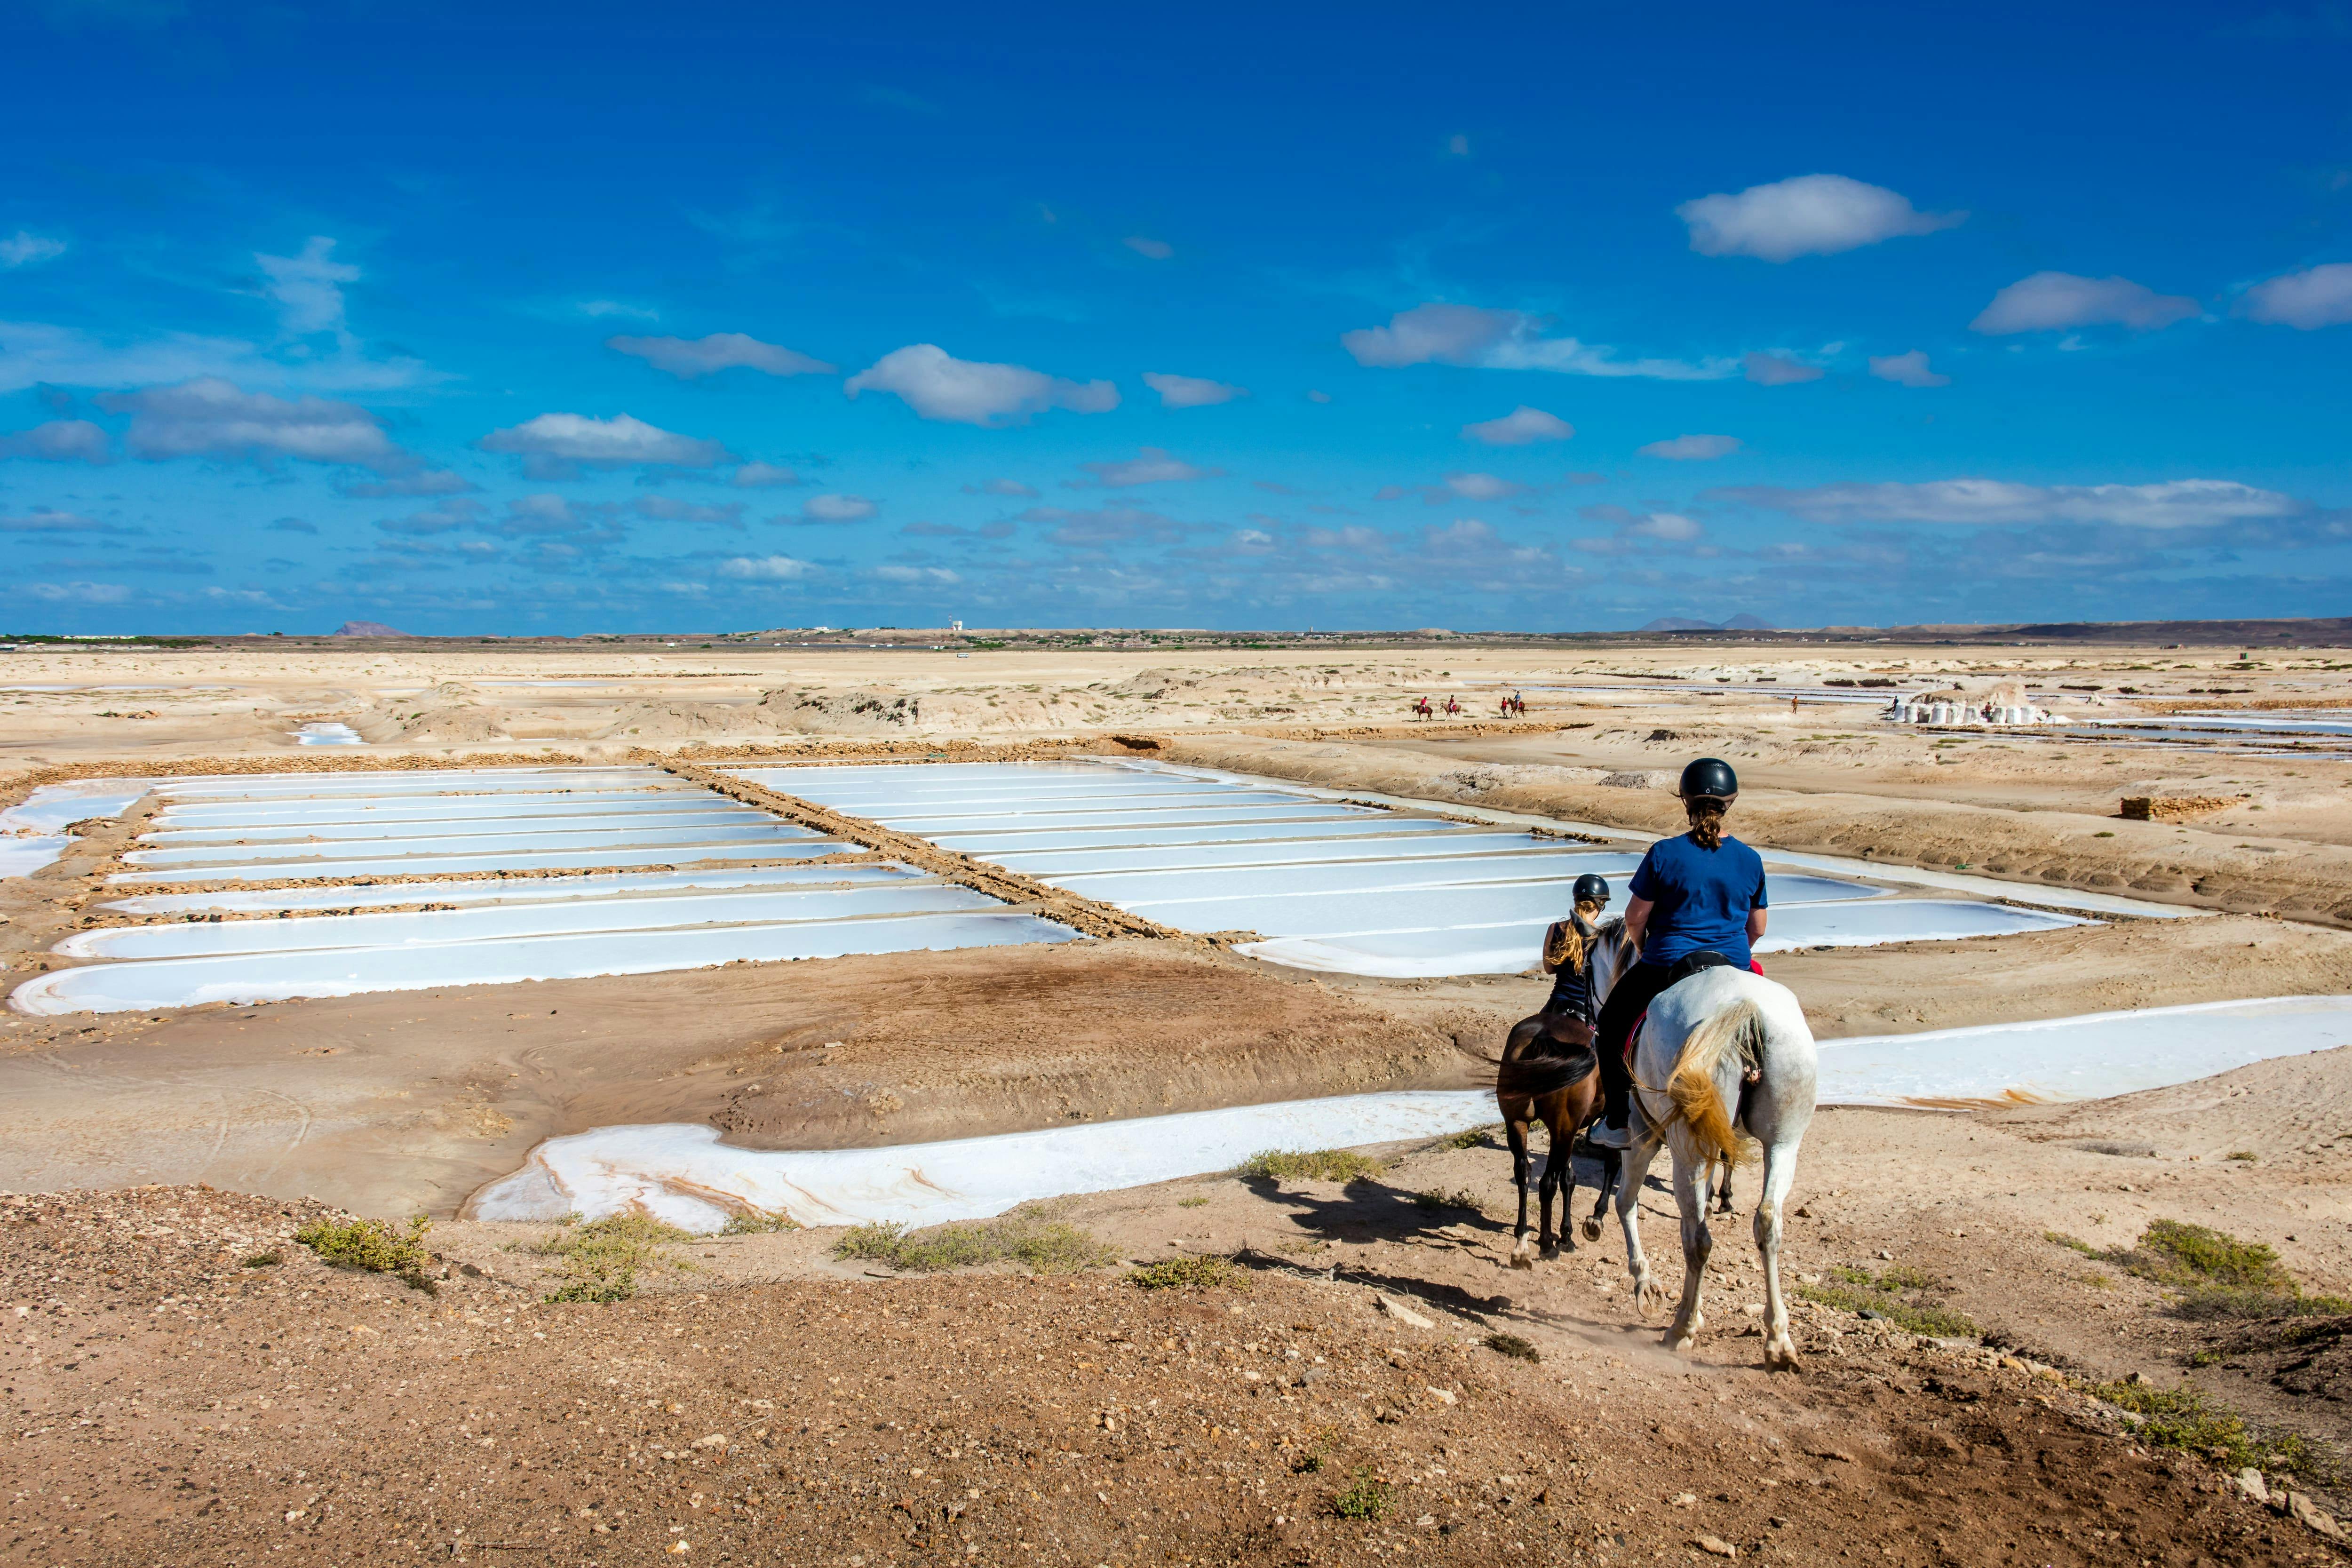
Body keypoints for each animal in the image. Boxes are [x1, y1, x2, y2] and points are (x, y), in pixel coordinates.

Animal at [1618, 968, 1816, 1373]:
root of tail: (1744, 1008)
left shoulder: (1642, 1133)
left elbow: (1626, 1201)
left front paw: (1645, 1281)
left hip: (1687, 1150)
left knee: (1698, 1239)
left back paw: (1681, 1328)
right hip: (1784, 1142)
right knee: (1768, 1221)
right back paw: (1778, 1340)